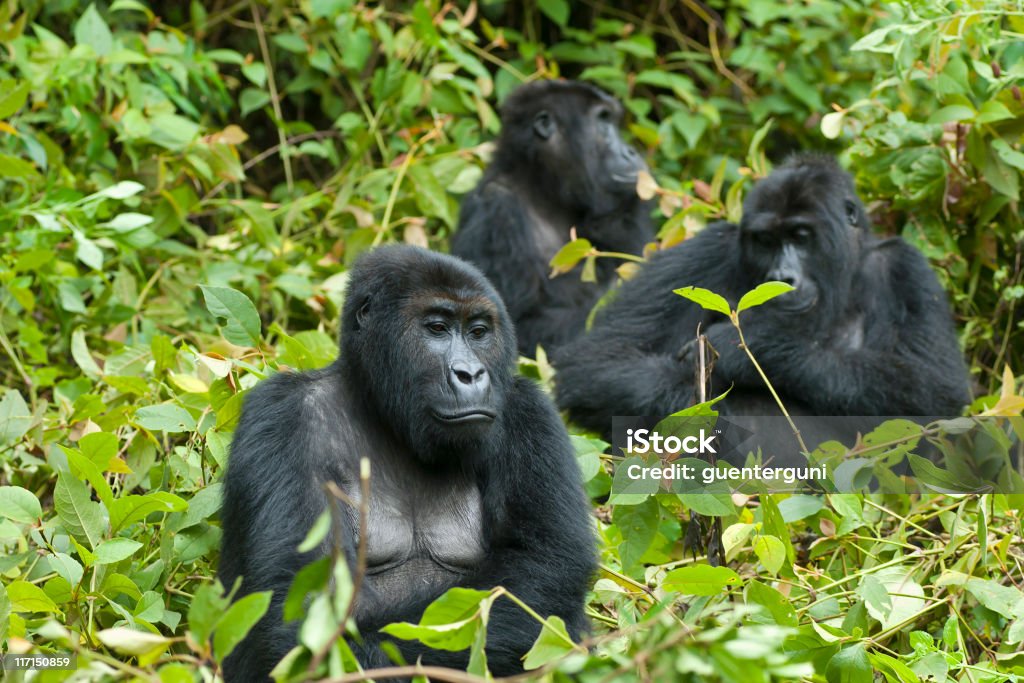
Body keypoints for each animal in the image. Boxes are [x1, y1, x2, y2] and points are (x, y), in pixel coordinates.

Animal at [220, 244, 598, 679]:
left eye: (478, 332)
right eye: (436, 328)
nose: (471, 373)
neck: (381, 411)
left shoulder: (529, 411)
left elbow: (542, 566)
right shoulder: (280, 413)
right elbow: (299, 597)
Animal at [557, 154, 970, 432]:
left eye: (801, 237)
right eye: (766, 241)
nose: (783, 277)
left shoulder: (906, 268)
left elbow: (935, 393)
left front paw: (754, 350)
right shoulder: (706, 250)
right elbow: (598, 363)